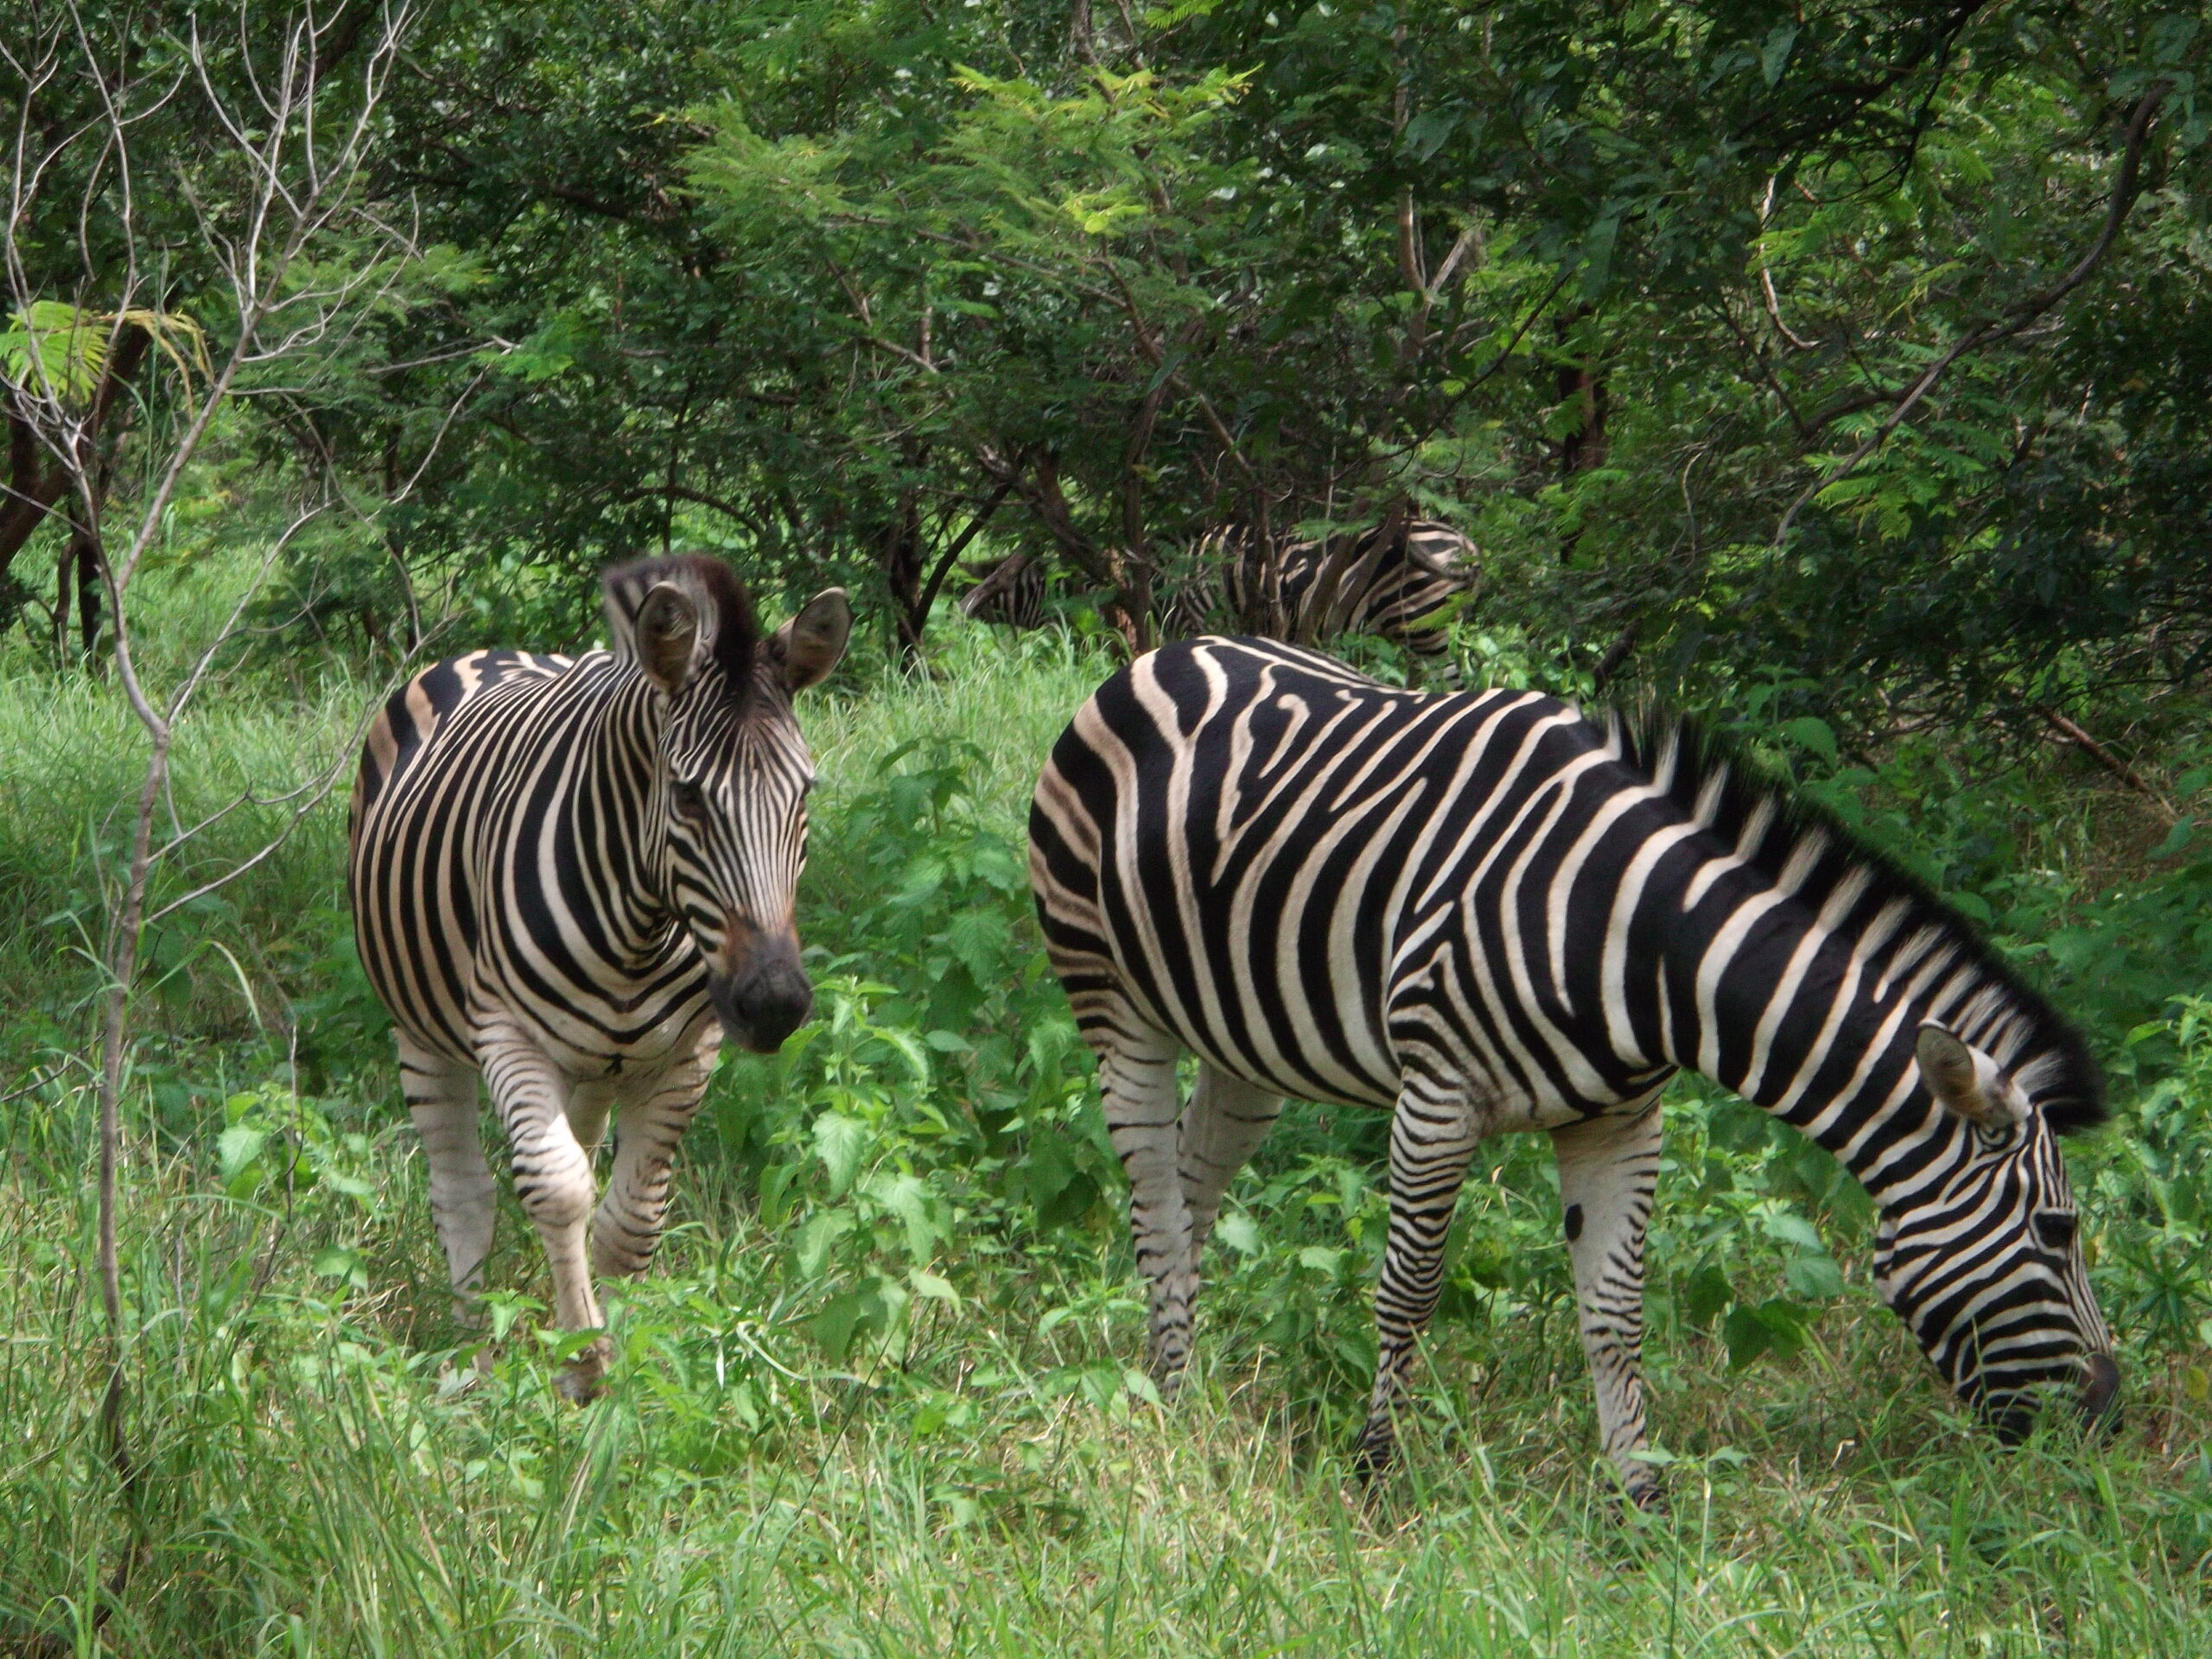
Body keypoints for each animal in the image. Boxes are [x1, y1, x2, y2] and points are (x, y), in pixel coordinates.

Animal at [349, 555, 850, 1400]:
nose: (775, 1004)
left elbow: (631, 1215)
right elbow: (556, 1190)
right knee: (465, 1189)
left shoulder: (688, 1053)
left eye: (804, 792)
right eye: (687, 795)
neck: (640, 928)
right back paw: (473, 1347)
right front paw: (582, 1356)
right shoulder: (508, 1035)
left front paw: (614, 1362)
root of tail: (496, 651)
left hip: (595, 1062)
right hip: (420, 1029)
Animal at [1028, 635, 2117, 1503]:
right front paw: (1374, 1475)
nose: (2103, 1420)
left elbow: (1614, 1316)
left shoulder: (1619, 1121)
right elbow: (1406, 1291)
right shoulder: (1436, 1097)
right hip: (1112, 999)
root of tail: (1166, 650)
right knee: (1155, 1200)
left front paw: (1639, 1500)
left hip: (1247, 1041)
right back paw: (1172, 1404)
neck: (1644, 940)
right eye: (2057, 1231)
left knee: (1193, 1183)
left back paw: (1178, 1385)